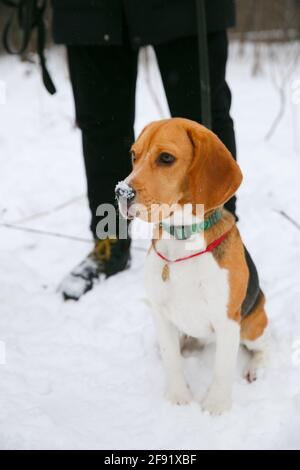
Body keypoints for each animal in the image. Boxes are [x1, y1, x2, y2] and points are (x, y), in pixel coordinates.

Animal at [115, 117, 270, 414]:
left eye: (166, 158)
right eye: (133, 155)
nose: (121, 192)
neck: (182, 239)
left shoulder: (227, 320)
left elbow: (222, 369)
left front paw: (215, 407)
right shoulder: (161, 313)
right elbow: (172, 361)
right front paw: (179, 398)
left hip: (252, 325)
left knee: (263, 348)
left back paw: (255, 368)